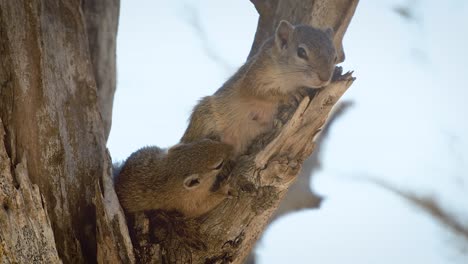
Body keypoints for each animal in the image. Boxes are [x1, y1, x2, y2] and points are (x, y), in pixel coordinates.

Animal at [181, 21, 338, 157]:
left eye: (335, 56)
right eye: (301, 52)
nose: (325, 77)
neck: (290, 79)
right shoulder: (255, 75)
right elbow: (257, 91)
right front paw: (289, 95)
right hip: (205, 117)